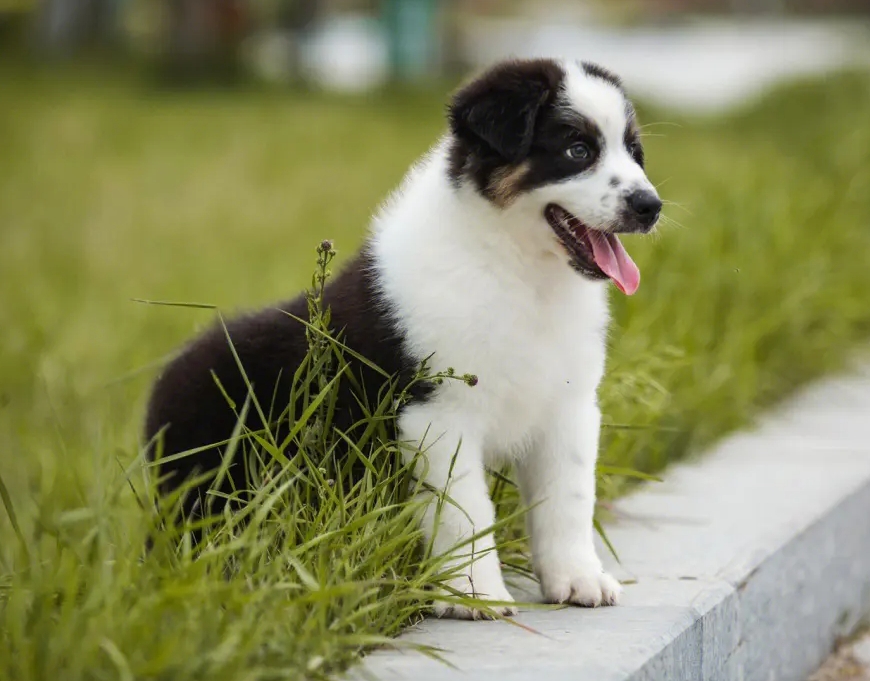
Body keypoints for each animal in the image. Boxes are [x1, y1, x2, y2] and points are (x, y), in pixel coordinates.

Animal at [145, 58, 660, 620]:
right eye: (578, 150)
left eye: (634, 152)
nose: (650, 206)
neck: (518, 269)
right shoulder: (438, 412)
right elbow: (466, 510)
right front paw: (475, 595)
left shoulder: (567, 405)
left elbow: (567, 499)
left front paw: (578, 579)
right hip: (212, 475)